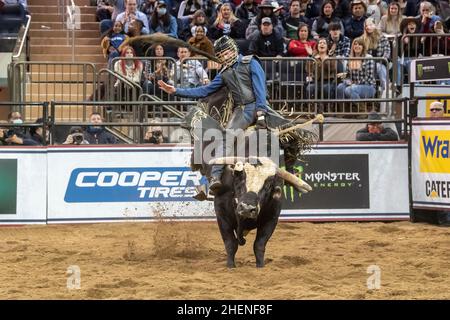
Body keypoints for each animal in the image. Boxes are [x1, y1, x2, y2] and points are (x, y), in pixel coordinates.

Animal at [183, 88, 320, 268]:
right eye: (240, 177)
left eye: (268, 185)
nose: (247, 208)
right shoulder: (221, 210)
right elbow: (230, 243)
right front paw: (230, 266)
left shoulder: (272, 216)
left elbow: (259, 244)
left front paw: (260, 266)